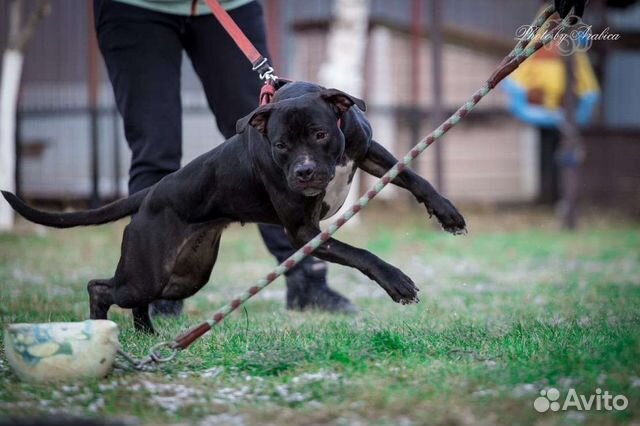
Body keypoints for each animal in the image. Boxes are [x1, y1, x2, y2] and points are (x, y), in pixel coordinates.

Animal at [1, 80, 464, 332]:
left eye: (319, 134)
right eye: (280, 145)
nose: (304, 173)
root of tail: (151, 194)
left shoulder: (366, 151)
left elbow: (414, 177)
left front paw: (447, 213)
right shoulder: (303, 230)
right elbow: (360, 253)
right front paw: (397, 282)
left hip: (185, 276)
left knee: (136, 297)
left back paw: (147, 332)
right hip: (148, 271)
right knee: (101, 287)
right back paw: (102, 325)